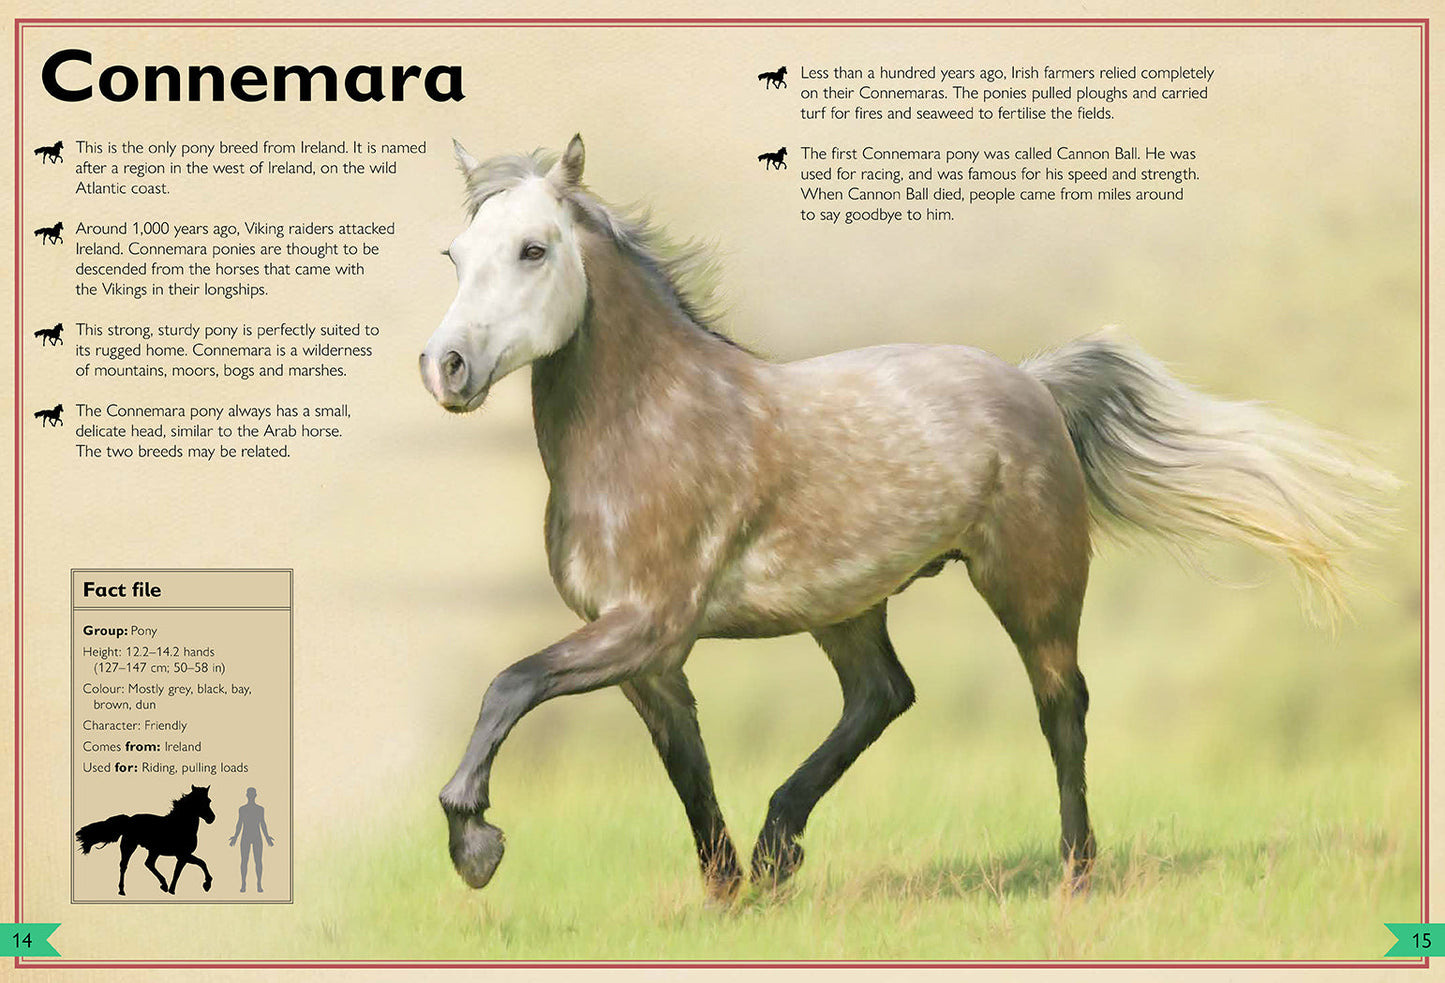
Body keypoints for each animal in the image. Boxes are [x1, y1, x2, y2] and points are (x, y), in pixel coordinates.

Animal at [75, 785, 216, 895]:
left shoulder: (182, 856)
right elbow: (201, 863)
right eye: (199, 802)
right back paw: (122, 890)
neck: (180, 826)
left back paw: (163, 885)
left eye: (208, 801)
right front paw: (206, 885)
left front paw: (172, 890)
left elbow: (180, 871)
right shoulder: (183, 855)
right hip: (130, 846)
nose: (212, 818)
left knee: (148, 864)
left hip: (153, 851)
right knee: (124, 865)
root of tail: (129, 820)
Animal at [419, 135, 1396, 901]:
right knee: (883, 694)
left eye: (534, 249)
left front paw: (474, 845)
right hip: (846, 605)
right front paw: (728, 892)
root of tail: (1032, 383)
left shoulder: (648, 626)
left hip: (1030, 585)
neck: (650, 425)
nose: (447, 367)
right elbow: (685, 766)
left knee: (1061, 707)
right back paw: (779, 849)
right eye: (456, 254)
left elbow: (508, 683)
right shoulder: (644, 655)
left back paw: (1076, 873)